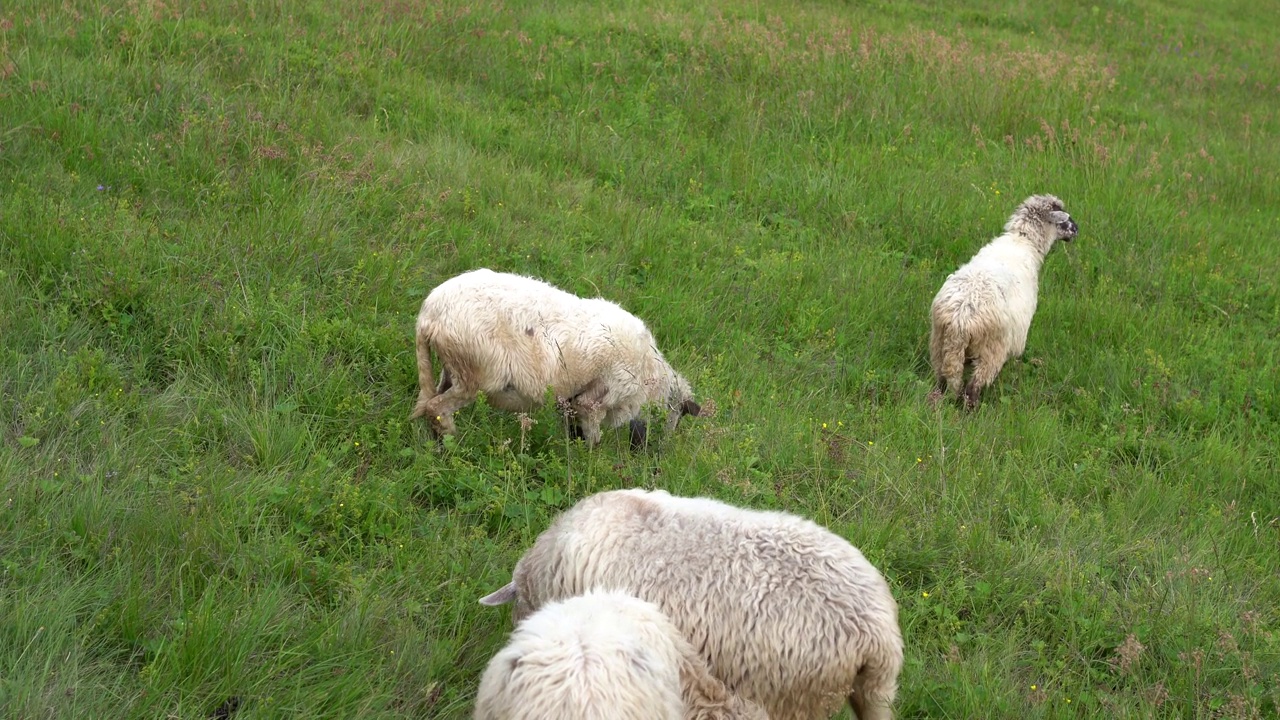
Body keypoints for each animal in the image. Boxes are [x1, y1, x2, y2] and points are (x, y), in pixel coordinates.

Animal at [407, 269, 701, 448]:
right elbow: (592, 436)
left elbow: (573, 429)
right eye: (680, 417)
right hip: (475, 375)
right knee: (436, 408)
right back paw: (455, 446)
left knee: (432, 404)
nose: (655, 452)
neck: (651, 375)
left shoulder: (573, 400)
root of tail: (429, 314)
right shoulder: (597, 400)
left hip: (452, 370)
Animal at [926, 193, 1075, 407]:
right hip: (991, 350)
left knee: (942, 382)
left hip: (939, 344)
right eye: (1063, 219)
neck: (1023, 240)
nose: (1076, 230)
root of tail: (960, 320)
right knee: (973, 388)